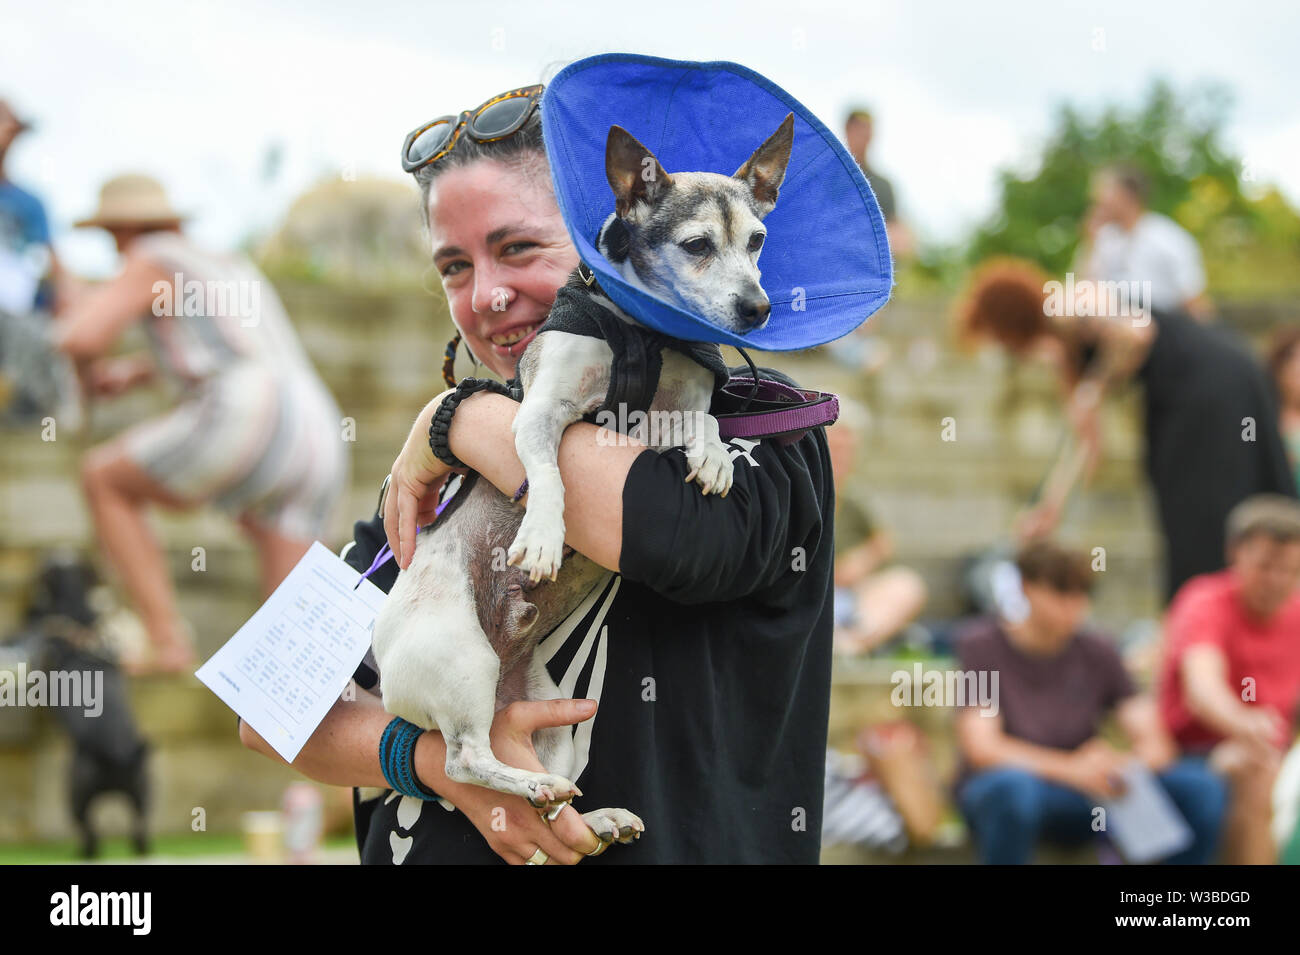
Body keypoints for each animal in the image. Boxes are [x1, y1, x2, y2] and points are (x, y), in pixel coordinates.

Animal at [8, 553, 151, 857]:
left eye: (49, 563)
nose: (48, 555)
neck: (75, 610)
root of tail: (118, 754)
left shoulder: (42, 624)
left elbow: (34, 619)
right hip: (144, 791)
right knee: (140, 826)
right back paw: (141, 848)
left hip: (76, 793)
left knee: (88, 829)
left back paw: (85, 851)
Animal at [371, 117, 795, 841]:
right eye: (697, 245)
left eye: (758, 240)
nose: (758, 307)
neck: (646, 338)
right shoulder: (541, 413)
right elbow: (547, 475)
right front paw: (544, 535)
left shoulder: (672, 416)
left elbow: (707, 421)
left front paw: (714, 456)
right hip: (461, 656)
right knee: (461, 761)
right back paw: (530, 785)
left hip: (555, 708)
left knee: (518, 773)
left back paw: (593, 818)